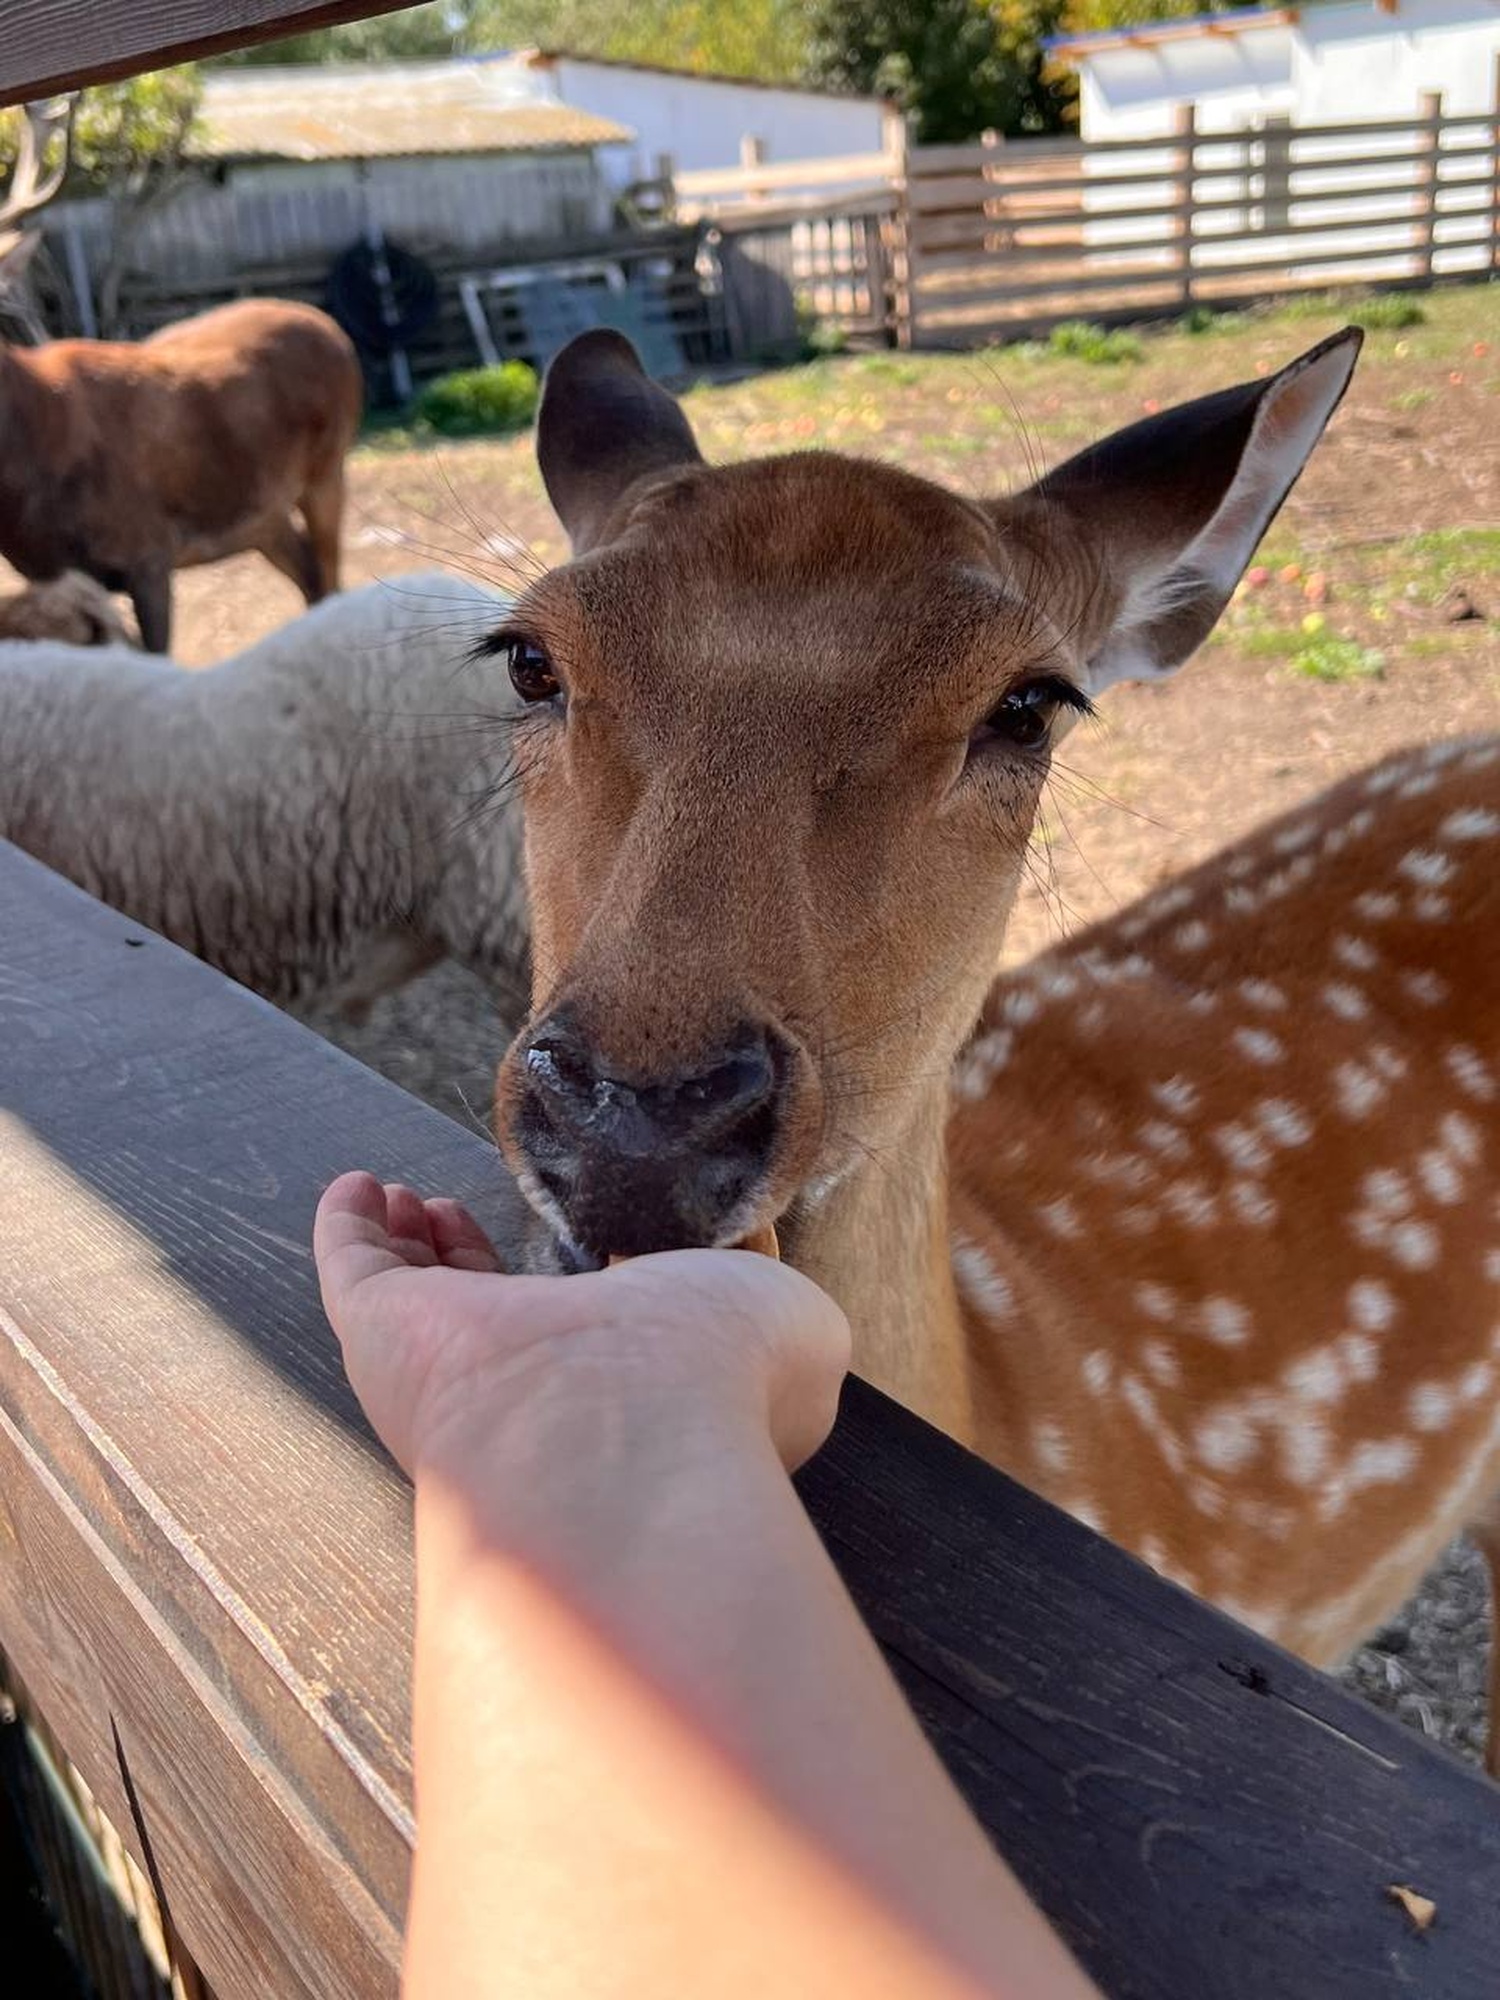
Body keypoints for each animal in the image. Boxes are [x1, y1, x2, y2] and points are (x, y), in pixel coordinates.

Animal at [0, 298, 362, 653]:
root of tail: (332, 328)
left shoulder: (149, 555)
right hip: (263, 513)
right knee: (308, 572)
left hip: (327, 469)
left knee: (328, 573)